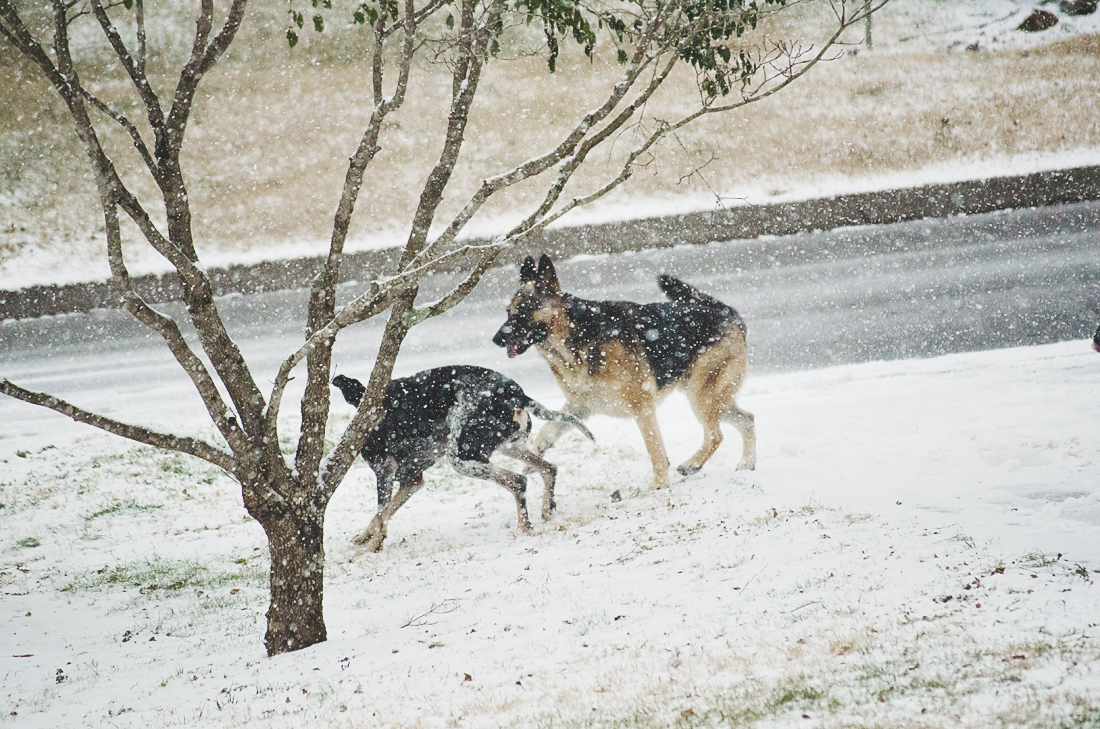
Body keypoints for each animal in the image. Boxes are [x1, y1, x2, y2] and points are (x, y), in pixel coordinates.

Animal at [330, 367, 594, 549]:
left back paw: (524, 526)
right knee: (549, 469)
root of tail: (517, 393)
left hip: (463, 457)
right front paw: (365, 536)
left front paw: (374, 546)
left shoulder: (385, 472)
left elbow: (381, 513)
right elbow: (381, 515)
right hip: (505, 447)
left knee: (518, 481)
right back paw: (547, 510)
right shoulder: (411, 481)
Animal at [492, 256, 756, 490]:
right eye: (508, 312)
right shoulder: (579, 407)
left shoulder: (642, 406)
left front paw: (660, 485)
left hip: (701, 397)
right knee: (747, 419)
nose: (496, 340)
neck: (575, 336)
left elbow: (655, 449)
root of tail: (727, 312)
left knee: (716, 435)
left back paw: (693, 464)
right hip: (711, 398)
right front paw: (533, 460)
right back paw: (747, 463)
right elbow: (547, 431)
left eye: (523, 310)